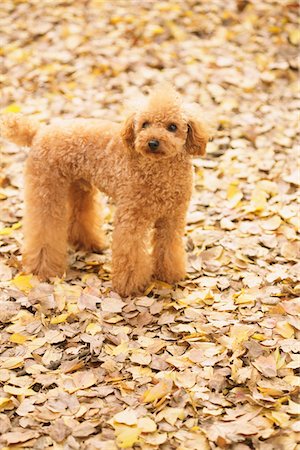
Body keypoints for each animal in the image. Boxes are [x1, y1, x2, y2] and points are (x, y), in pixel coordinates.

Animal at [0, 85, 211, 298]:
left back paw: (87, 243)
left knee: (79, 214)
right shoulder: (131, 219)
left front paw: (168, 275)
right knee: (44, 229)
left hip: (79, 186)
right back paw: (42, 269)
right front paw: (130, 286)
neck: (159, 170)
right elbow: (131, 254)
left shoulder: (172, 219)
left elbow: (168, 248)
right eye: (144, 124)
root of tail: (39, 132)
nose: (152, 142)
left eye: (172, 127)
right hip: (46, 189)